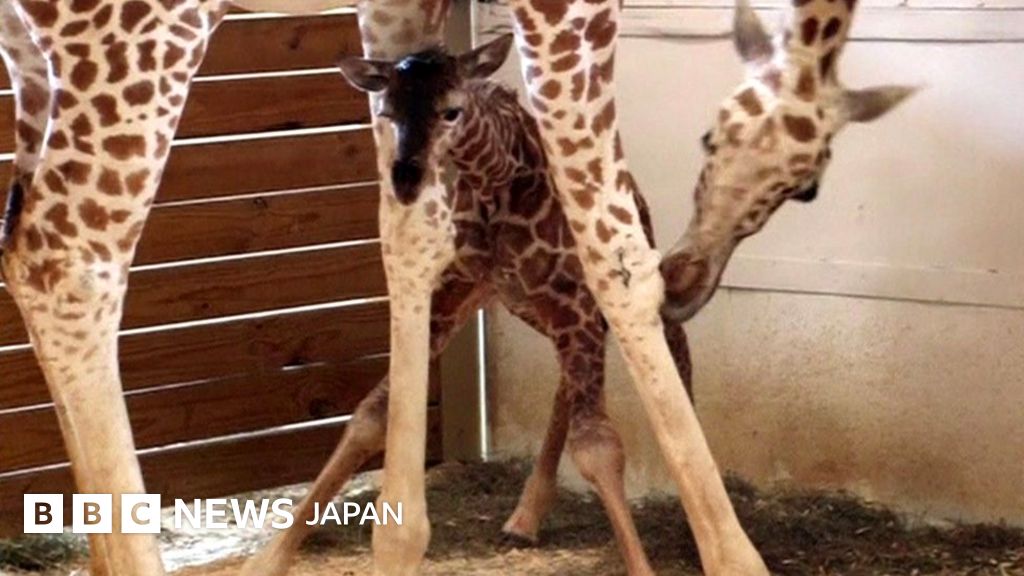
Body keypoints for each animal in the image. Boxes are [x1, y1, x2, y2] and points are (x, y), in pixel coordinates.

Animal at [241, 34, 693, 576]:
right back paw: (522, 519)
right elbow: (372, 413)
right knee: (566, 390)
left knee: (675, 355)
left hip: (611, 302)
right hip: (543, 312)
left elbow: (599, 447)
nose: (405, 180)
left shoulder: (577, 304)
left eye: (451, 111)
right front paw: (268, 558)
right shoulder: (457, 292)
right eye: (387, 112)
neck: (500, 186)